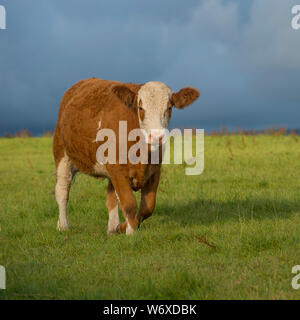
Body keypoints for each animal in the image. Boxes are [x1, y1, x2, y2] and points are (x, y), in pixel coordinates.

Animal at [52, 78, 200, 235]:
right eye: (140, 108)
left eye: (169, 108)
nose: (156, 136)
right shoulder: (117, 169)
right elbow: (129, 203)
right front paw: (130, 233)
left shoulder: (154, 170)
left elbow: (147, 207)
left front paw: (122, 227)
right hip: (62, 154)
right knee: (62, 190)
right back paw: (63, 226)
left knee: (111, 198)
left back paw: (112, 228)